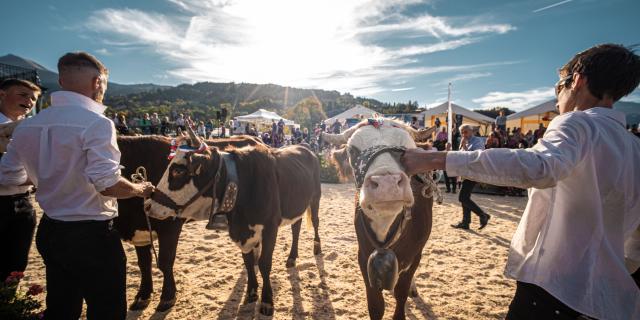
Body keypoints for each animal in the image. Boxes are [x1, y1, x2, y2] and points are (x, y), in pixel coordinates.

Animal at [147, 125, 322, 316]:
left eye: (178, 171)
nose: (148, 205)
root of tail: (304, 146)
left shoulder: (270, 227)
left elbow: (264, 264)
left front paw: (267, 301)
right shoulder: (242, 232)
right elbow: (248, 261)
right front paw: (251, 292)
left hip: (315, 197)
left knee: (315, 222)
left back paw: (316, 247)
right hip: (297, 204)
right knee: (296, 228)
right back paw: (291, 257)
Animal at [322, 119, 438, 320]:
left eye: (408, 150)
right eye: (352, 151)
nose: (387, 184)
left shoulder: (414, 255)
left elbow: (401, 292)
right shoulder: (364, 256)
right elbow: (375, 304)